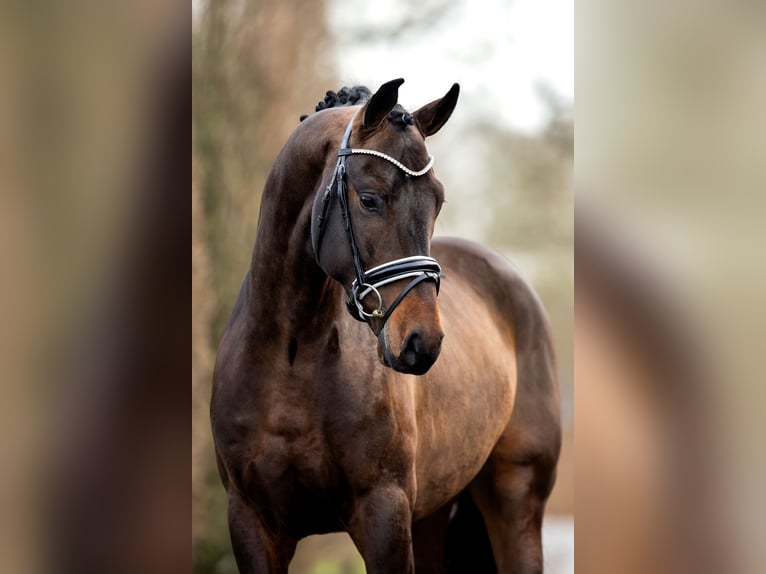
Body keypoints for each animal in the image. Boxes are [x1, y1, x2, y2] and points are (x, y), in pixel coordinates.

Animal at [211, 78, 561, 573]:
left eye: (437, 200)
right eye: (370, 199)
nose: (423, 342)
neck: (292, 355)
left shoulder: (383, 515)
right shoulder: (251, 523)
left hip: (516, 503)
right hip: (432, 518)